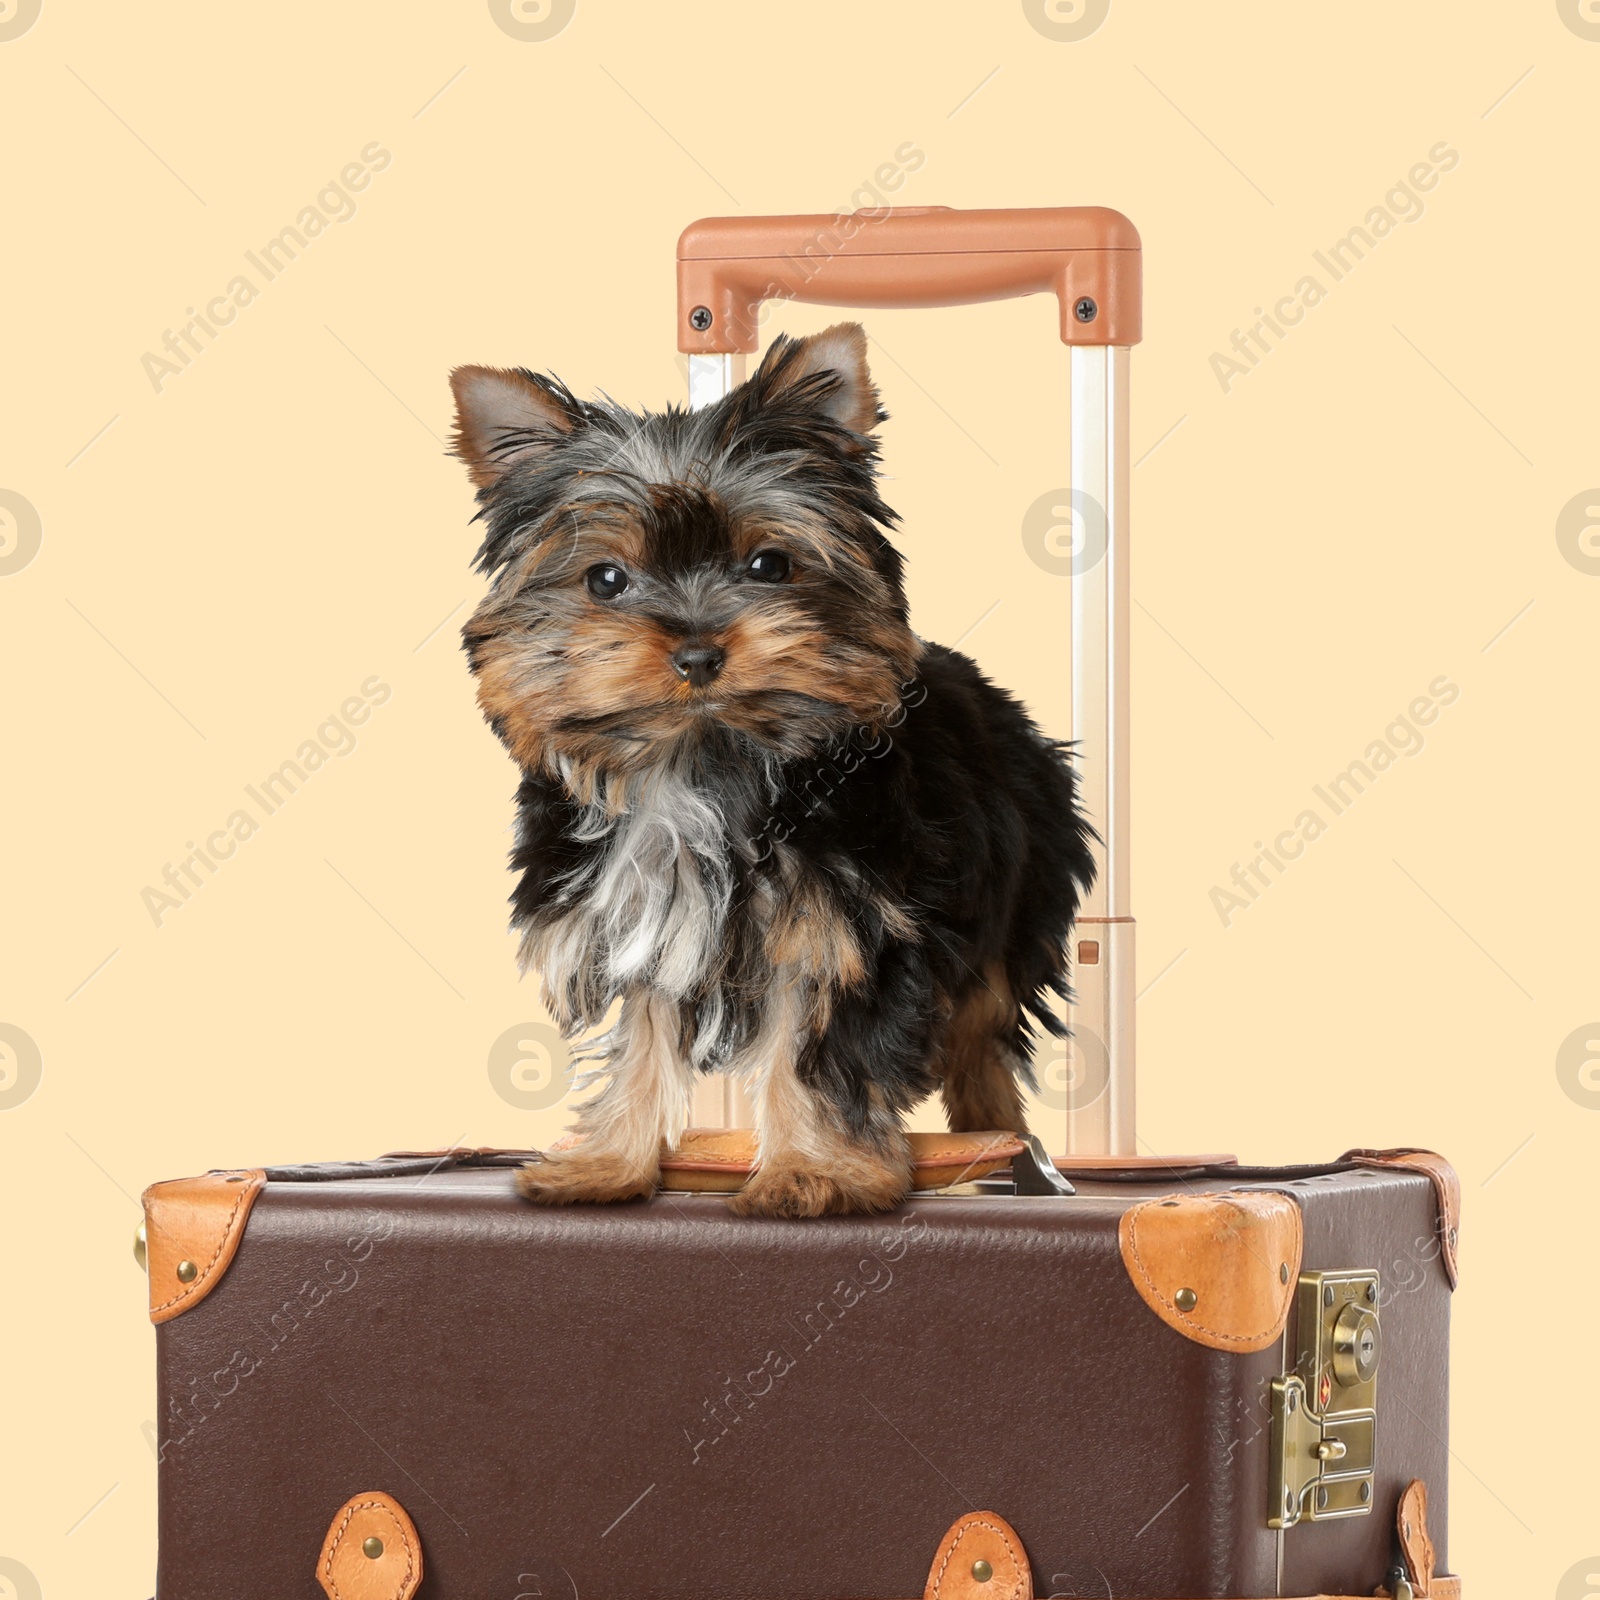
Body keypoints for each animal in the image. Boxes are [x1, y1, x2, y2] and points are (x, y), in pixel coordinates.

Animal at [457, 331, 1094, 1216]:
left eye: (768, 565)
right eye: (605, 579)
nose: (696, 653)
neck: (705, 763)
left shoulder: (850, 928)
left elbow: (819, 1051)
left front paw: (816, 1172)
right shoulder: (638, 923)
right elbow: (639, 1046)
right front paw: (609, 1165)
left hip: (1019, 885)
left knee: (983, 1022)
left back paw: (1001, 1138)